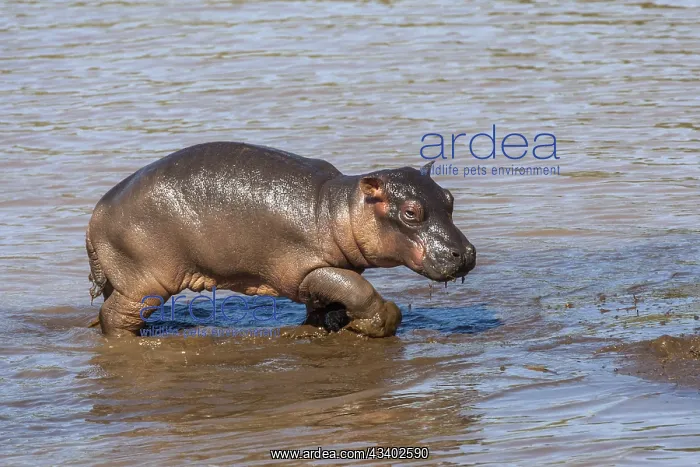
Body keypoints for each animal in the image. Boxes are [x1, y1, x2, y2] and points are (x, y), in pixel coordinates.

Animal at [86, 142, 476, 337]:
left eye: (449, 199)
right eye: (410, 212)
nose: (466, 253)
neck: (340, 208)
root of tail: (96, 215)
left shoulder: (329, 270)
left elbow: (331, 299)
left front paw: (325, 327)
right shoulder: (308, 268)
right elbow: (358, 292)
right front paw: (374, 323)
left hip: (123, 278)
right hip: (146, 281)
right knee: (115, 317)